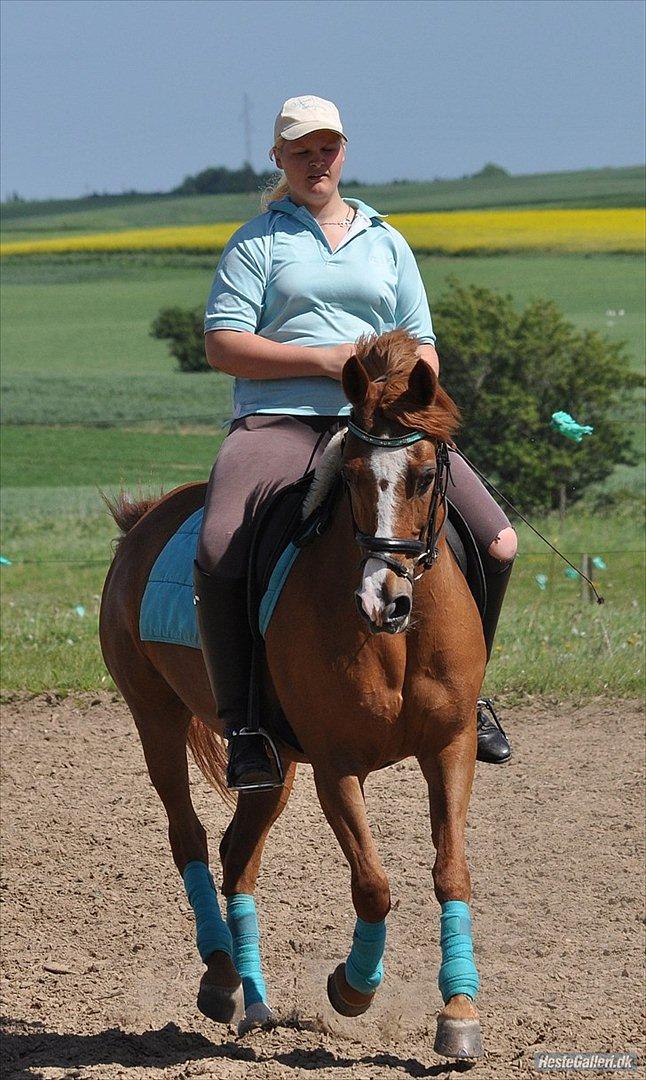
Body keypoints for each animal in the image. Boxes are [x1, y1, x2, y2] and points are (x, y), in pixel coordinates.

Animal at [99, 330, 486, 1062]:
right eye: (355, 476)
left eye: (424, 476)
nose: (384, 599)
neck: (397, 639)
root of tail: (144, 519)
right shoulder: (336, 767)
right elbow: (373, 886)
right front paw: (352, 987)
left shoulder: (451, 748)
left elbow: (450, 869)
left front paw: (459, 1011)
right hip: (154, 716)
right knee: (189, 837)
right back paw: (222, 976)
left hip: (272, 764)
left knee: (236, 854)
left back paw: (252, 999)